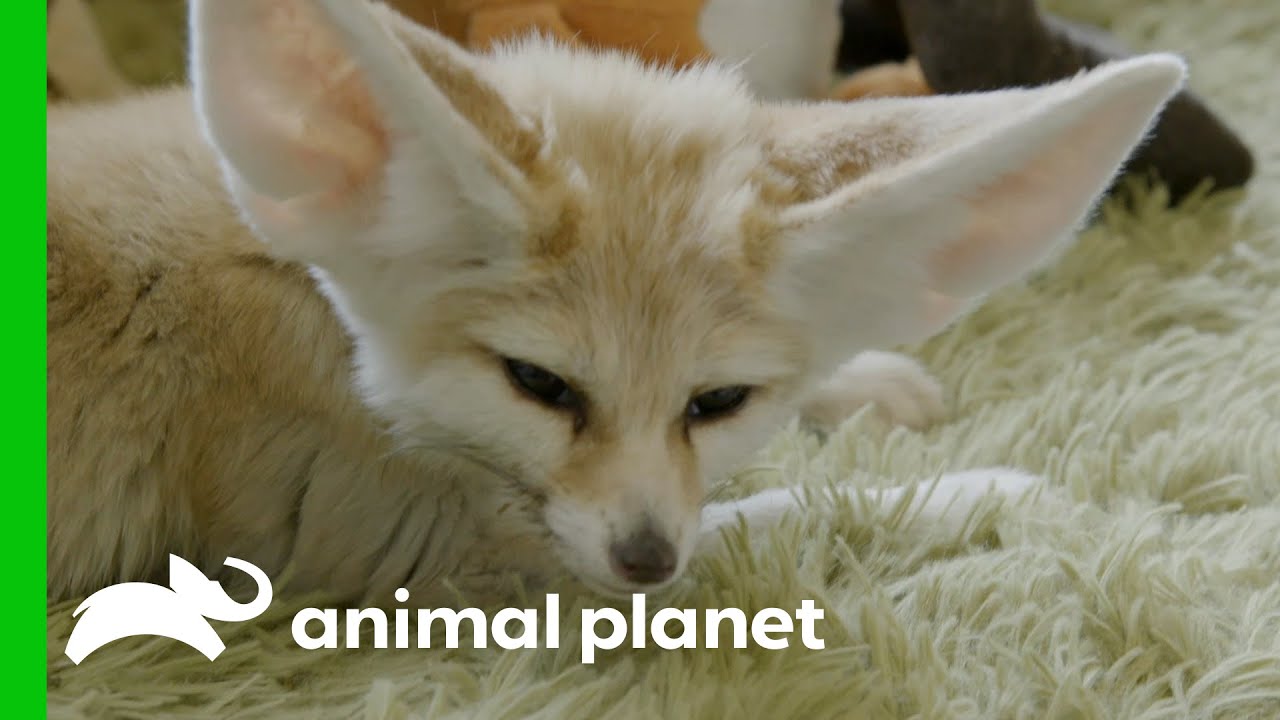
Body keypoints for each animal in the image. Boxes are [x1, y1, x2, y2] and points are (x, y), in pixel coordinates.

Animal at [47, 0, 1184, 605]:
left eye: (717, 402)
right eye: (537, 383)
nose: (646, 559)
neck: (298, 277)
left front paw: (865, 380)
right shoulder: (445, 555)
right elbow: (799, 509)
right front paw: (986, 492)